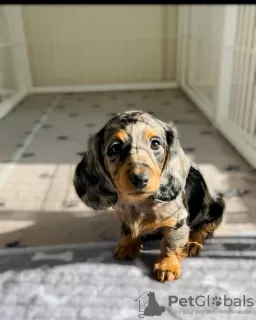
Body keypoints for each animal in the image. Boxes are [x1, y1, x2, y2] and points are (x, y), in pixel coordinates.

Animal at [73, 111, 225, 282]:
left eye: (155, 144)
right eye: (115, 148)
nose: (140, 179)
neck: (140, 203)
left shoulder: (178, 221)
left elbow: (170, 244)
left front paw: (166, 265)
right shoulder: (124, 216)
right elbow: (128, 229)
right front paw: (128, 244)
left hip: (215, 209)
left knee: (204, 228)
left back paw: (193, 243)